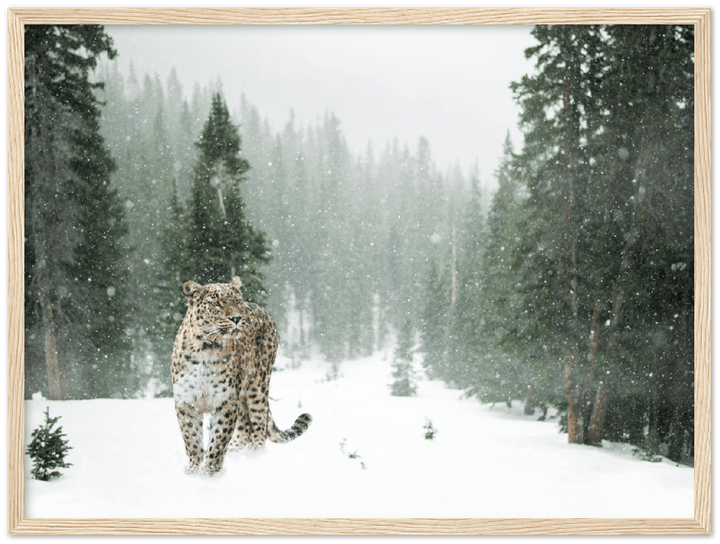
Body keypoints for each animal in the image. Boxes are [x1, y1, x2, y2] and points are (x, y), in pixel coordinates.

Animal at [171, 276, 312, 476]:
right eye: (216, 303)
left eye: (237, 301)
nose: (237, 318)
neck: (207, 348)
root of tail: (263, 309)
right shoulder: (186, 401)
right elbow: (191, 438)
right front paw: (193, 469)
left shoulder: (226, 401)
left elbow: (219, 438)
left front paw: (209, 471)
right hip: (243, 393)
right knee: (245, 425)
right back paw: (236, 450)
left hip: (257, 384)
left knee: (259, 422)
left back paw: (255, 455)